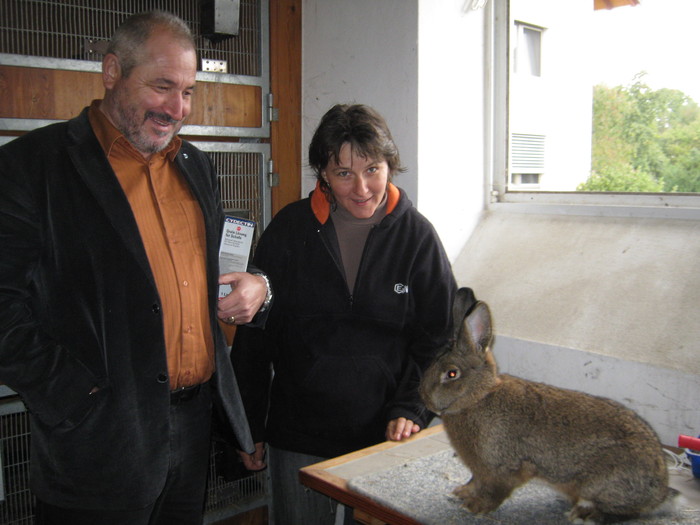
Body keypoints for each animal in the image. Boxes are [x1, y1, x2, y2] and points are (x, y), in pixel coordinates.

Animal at [418, 288, 668, 520]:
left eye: (452, 374)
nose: (425, 398)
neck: (479, 397)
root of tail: (661, 489)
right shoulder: (480, 471)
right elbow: (475, 481)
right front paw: (462, 492)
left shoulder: (502, 468)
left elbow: (495, 491)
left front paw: (475, 507)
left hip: (601, 484)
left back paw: (583, 515)